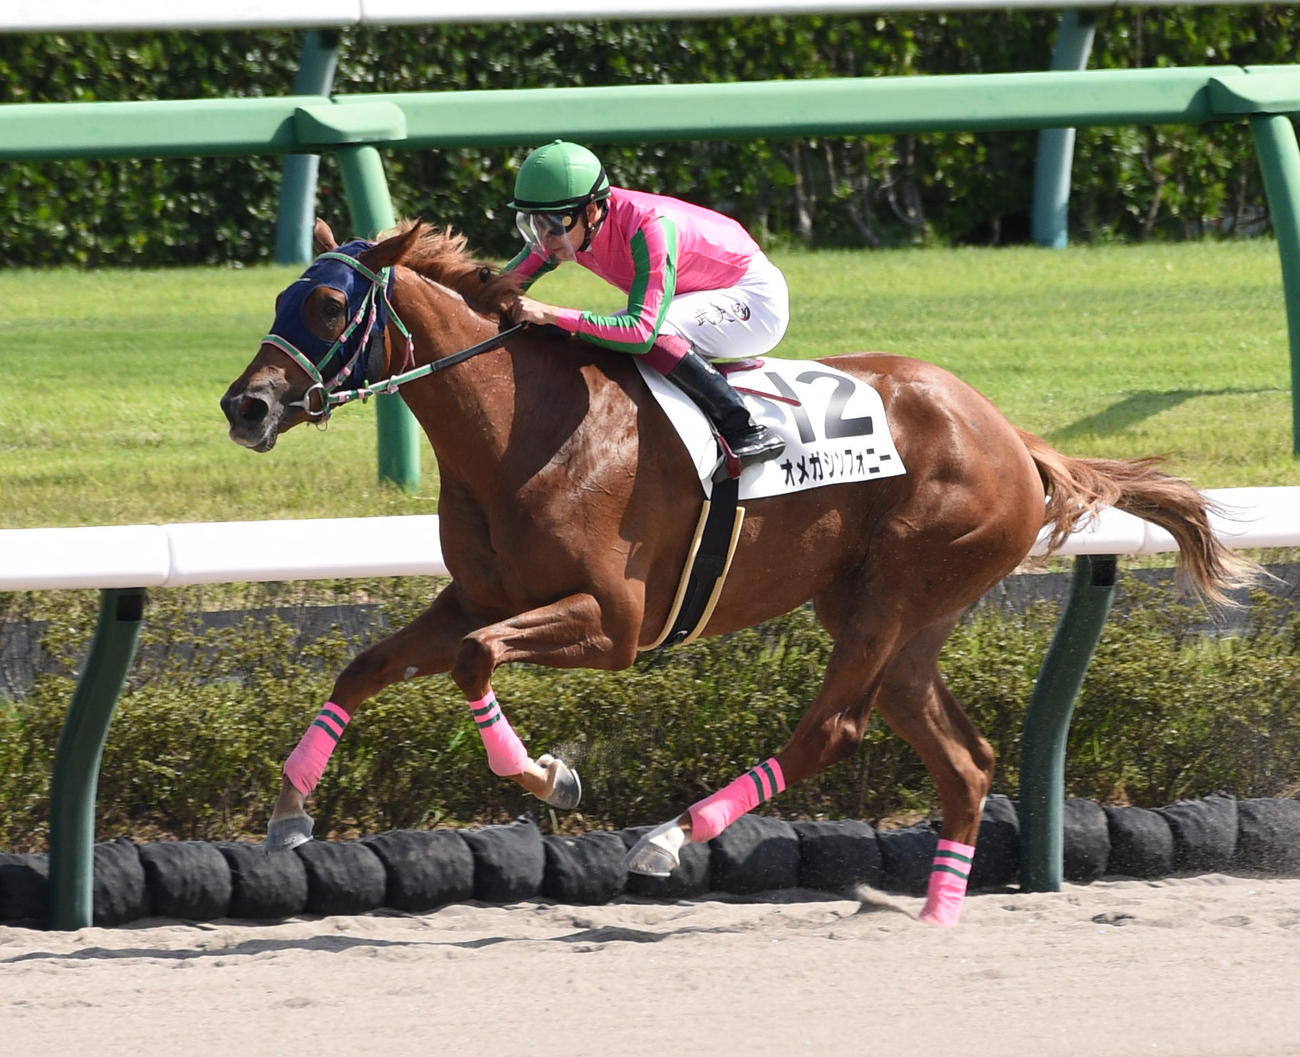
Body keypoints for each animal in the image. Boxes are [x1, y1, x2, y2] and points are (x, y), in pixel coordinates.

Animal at [221, 218, 1254, 924]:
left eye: (327, 305)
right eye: (277, 299)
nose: (245, 406)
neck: (521, 428)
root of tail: (1013, 436)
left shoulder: (615, 622)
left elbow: (478, 658)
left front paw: (550, 777)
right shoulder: (479, 594)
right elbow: (366, 664)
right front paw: (289, 812)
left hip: (900, 585)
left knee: (834, 726)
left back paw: (674, 834)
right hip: (902, 613)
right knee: (963, 757)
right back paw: (935, 913)